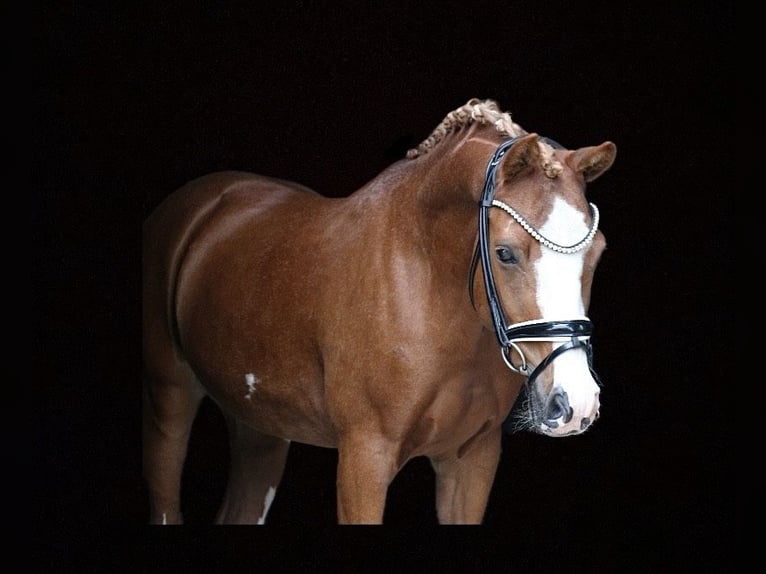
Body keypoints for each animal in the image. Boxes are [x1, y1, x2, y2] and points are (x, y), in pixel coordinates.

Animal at [144, 100, 620, 528]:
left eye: (597, 253)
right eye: (505, 253)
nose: (574, 402)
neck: (425, 285)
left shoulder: (472, 459)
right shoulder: (364, 459)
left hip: (259, 426)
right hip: (171, 399)